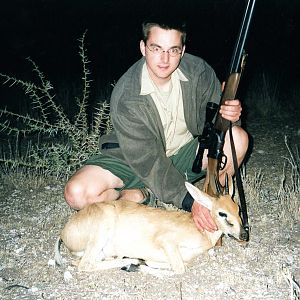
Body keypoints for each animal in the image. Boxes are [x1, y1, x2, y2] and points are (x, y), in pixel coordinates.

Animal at [55, 178, 247, 274]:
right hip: (101, 230)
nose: (244, 235)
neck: (201, 232)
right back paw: (132, 262)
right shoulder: (167, 242)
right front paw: (140, 265)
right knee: (83, 265)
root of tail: (63, 233)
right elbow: (179, 269)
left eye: (238, 208)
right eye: (222, 213)